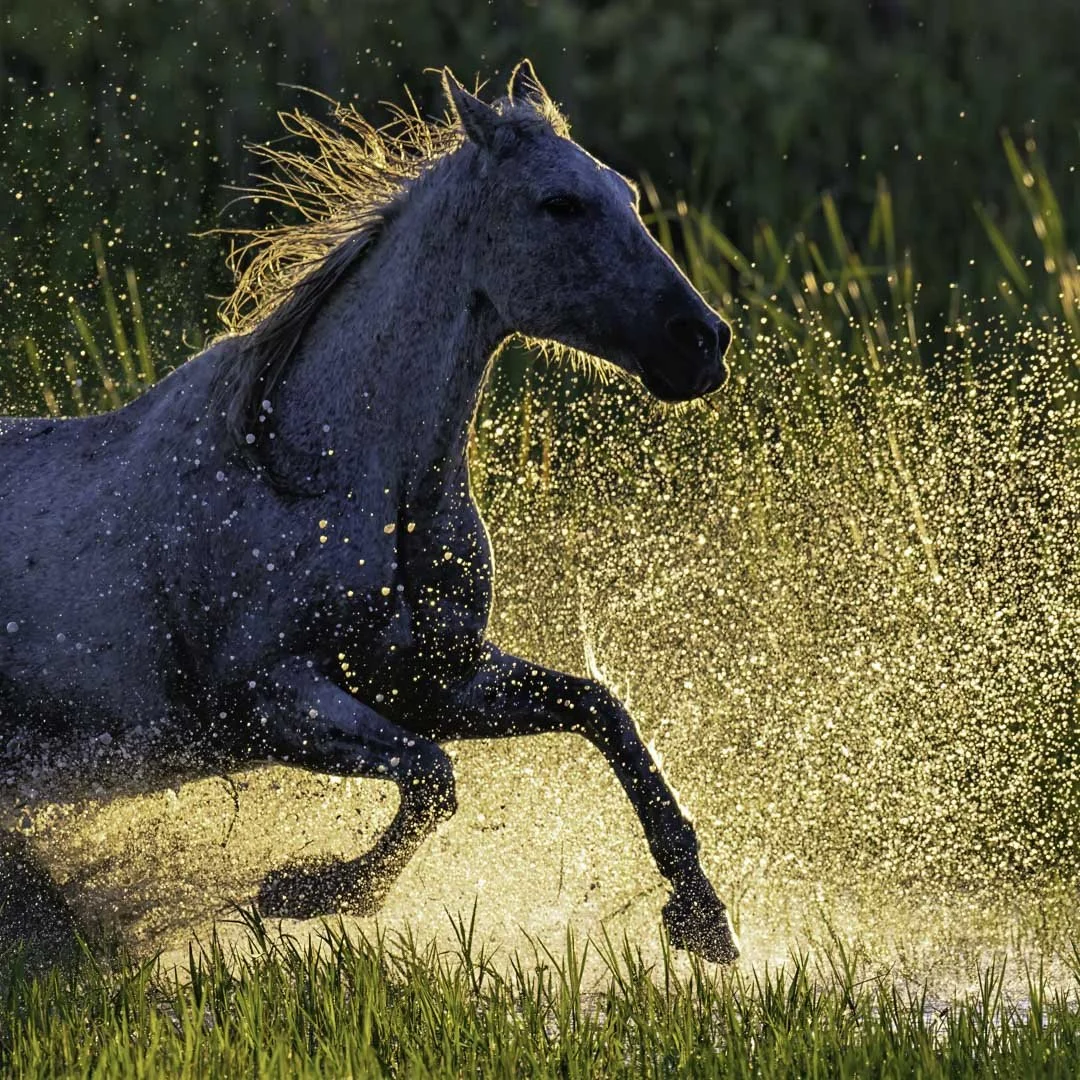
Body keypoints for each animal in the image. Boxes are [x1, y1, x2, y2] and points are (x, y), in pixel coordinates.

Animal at [0, 61, 738, 963]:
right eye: (559, 203)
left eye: (627, 193)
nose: (702, 342)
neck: (329, 472)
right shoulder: (270, 698)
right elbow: (432, 776)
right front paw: (310, 888)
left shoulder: (437, 678)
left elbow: (603, 713)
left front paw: (702, 913)